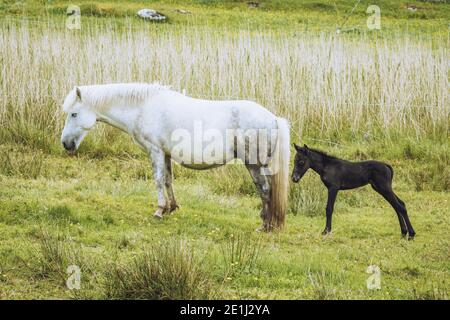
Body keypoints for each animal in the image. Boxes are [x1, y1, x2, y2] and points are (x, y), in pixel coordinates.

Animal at [60, 84, 288, 231]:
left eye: (73, 114)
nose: (65, 143)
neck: (144, 108)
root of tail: (273, 118)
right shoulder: (166, 154)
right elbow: (168, 180)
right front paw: (171, 207)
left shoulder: (155, 151)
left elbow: (158, 180)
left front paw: (159, 210)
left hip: (254, 165)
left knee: (265, 190)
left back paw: (264, 225)